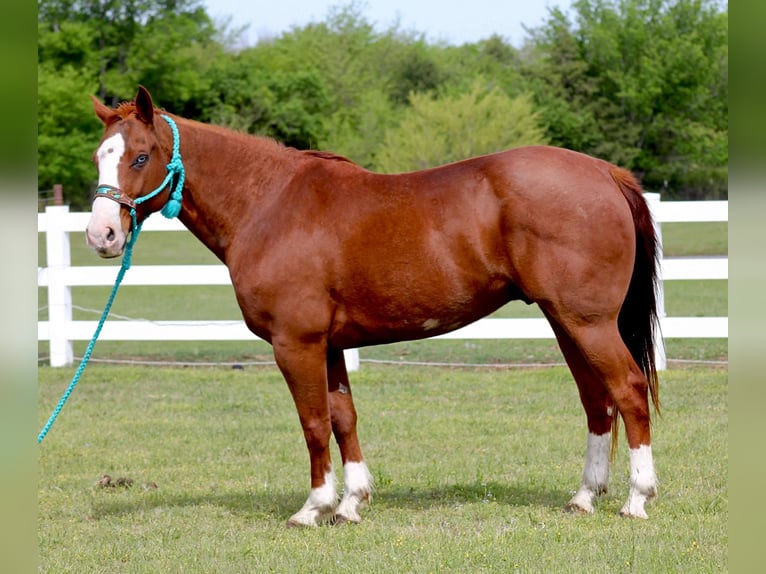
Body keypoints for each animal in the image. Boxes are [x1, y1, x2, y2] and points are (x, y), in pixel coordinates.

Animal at [86, 86, 661, 526]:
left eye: (140, 156)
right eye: (99, 157)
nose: (101, 235)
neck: (268, 203)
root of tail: (606, 174)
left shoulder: (296, 344)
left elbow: (313, 423)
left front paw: (314, 508)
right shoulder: (331, 345)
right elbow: (344, 419)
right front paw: (351, 503)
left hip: (588, 322)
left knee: (629, 391)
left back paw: (637, 499)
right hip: (566, 322)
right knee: (596, 400)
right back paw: (584, 497)